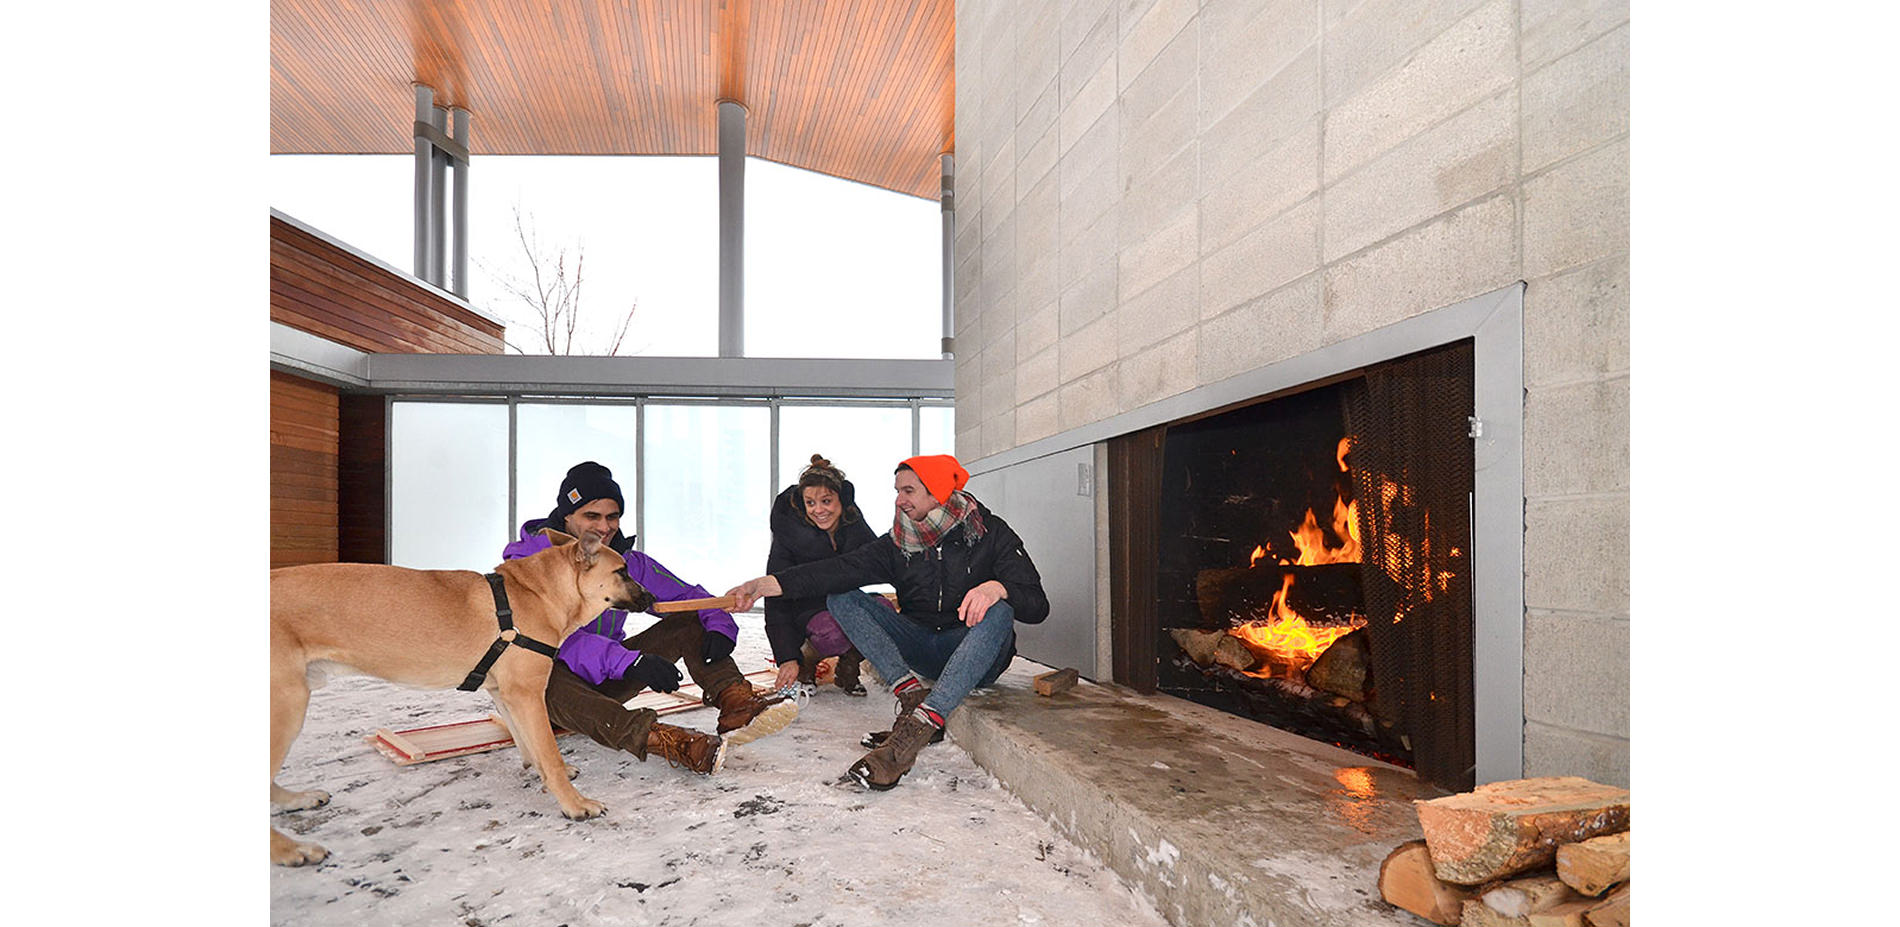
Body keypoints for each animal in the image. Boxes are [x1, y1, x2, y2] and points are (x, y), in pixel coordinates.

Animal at [267, 531, 653, 866]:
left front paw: (538, 769)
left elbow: (527, 743)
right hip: (287, 705)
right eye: (622, 571)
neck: (537, 592)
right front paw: (575, 803)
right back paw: (292, 850)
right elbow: (549, 754)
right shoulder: (527, 692)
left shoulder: (505, 694)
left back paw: (298, 800)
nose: (651, 599)